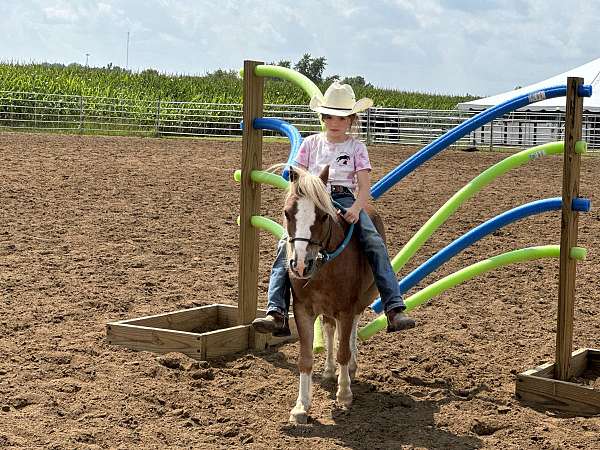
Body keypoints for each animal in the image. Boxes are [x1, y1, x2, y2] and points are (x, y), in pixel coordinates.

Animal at [282, 166, 384, 426]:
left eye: (323, 216)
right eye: (288, 213)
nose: (300, 265)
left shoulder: (346, 308)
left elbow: (343, 351)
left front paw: (345, 394)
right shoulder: (303, 309)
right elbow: (306, 357)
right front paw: (301, 407)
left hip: (361, 300)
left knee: (352, 330)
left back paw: (351, 368)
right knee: (329, 328)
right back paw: (329, 370)